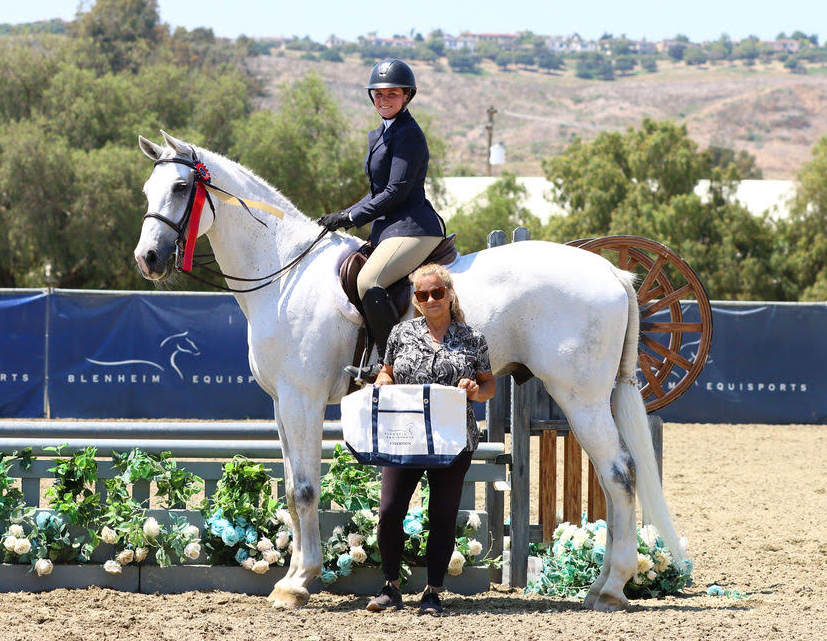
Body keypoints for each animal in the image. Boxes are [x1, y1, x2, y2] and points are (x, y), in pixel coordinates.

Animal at [136, 130, 688, 608]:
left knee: (619, 473)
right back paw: (602, 586)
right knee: (616, 478)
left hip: (580, 396)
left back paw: (611, 589)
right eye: (148, 189)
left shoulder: (302, 398)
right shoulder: (281, 403)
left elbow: (305, 489)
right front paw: (294, 577)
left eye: (182, 187)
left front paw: (298, 583)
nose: (149, 258)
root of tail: (611, 272)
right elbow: (292, 490)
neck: (286, 273)